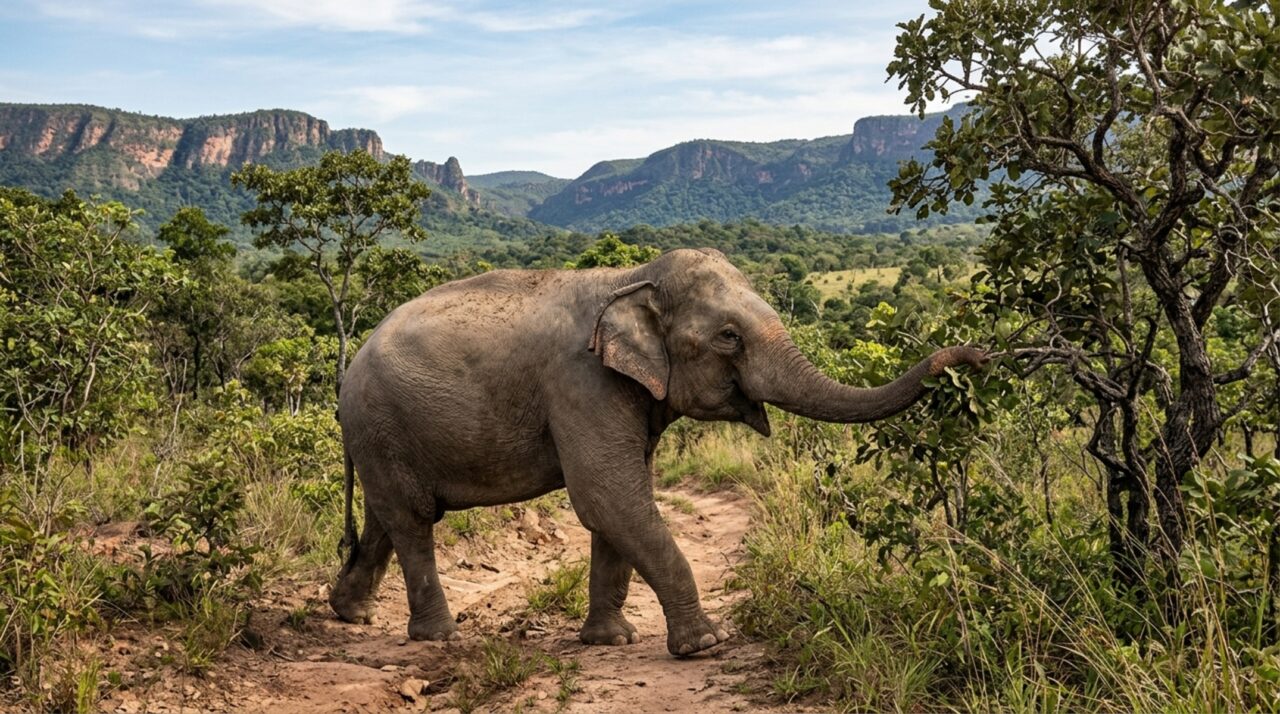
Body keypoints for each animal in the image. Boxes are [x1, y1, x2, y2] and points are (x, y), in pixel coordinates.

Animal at [329, 248, 987, 656]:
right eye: (728, 337)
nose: (975, 355)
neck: (632, 276)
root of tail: (348, 370)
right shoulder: (581, 382)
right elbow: (607, 495)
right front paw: (705, 646)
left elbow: (619, 502)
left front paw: (610, 641)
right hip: (381, 422)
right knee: (413, 520)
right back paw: (436, 638)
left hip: (380, 435)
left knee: (386, 519)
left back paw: (350, 615)